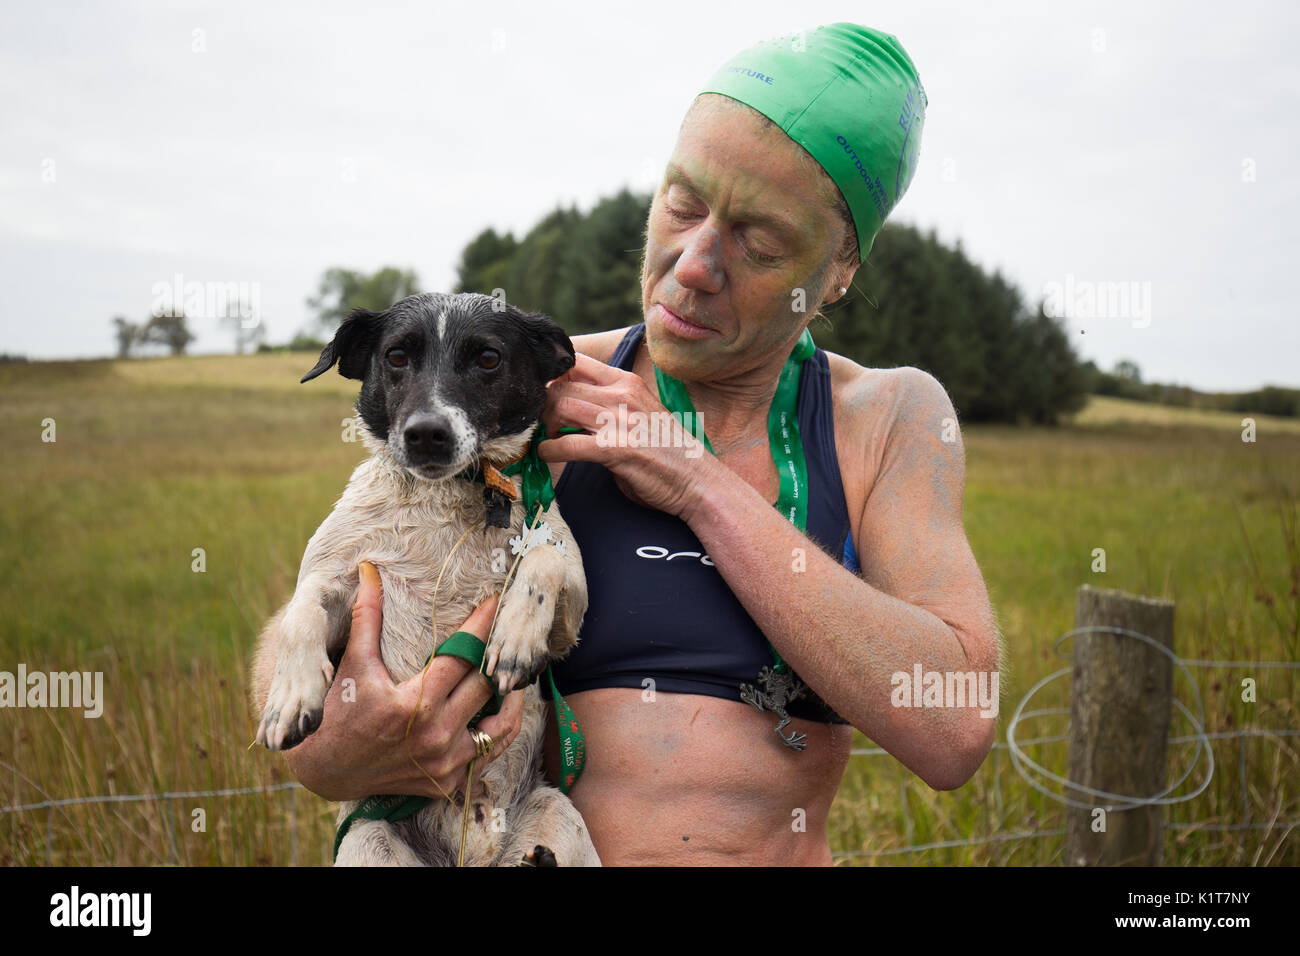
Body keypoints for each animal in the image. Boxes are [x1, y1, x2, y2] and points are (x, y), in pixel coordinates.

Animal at [253, 291, 598, 868]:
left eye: (488, 358)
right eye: (396, 356)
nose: (426, 434)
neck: (447, 497)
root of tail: (472, 854)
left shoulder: (568, 616)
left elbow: (542, 560)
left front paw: (514, 637)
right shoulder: (339, 574)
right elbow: (300, 614)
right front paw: (291, 697)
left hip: (558, 810)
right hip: (367, 838)